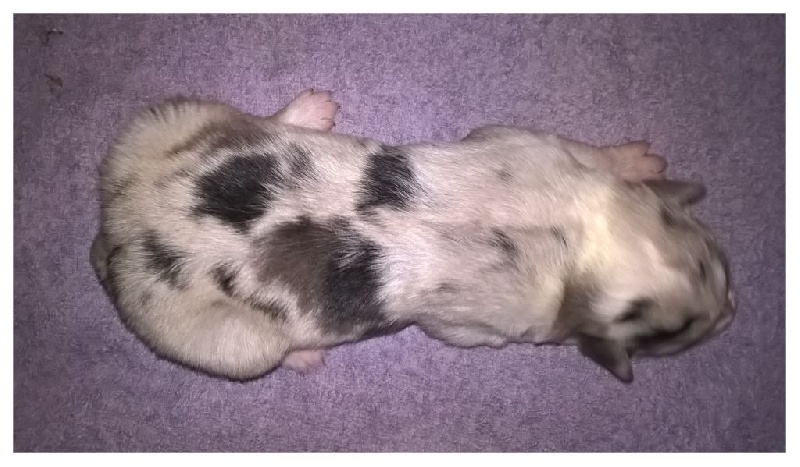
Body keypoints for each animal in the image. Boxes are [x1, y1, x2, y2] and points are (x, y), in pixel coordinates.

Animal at [90, 88, 735, 383]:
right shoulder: (473, 328)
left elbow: (596, 157)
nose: (732, 311)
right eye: (678, 335)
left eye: (717, 265)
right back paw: (305, 356)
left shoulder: (533, 146)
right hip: (234, 345)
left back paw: (307, 112)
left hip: (165, 120)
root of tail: (118, 234)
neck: (574, 249)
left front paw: (638, 163)